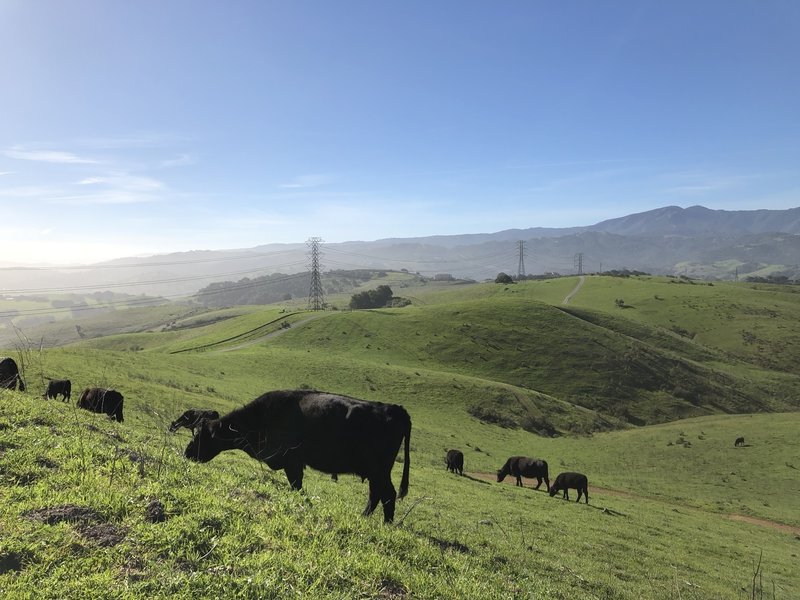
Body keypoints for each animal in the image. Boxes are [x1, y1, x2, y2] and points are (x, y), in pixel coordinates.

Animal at [186, 392, 412, 524]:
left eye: (201, 435)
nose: (186, 452)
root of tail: (397, 409)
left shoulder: (291, 461)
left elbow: (296, 485)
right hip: (375, 472)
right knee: (376, 494)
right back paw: (364, 518)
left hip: (379, 470)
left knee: (387, 494)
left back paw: (385, 524)